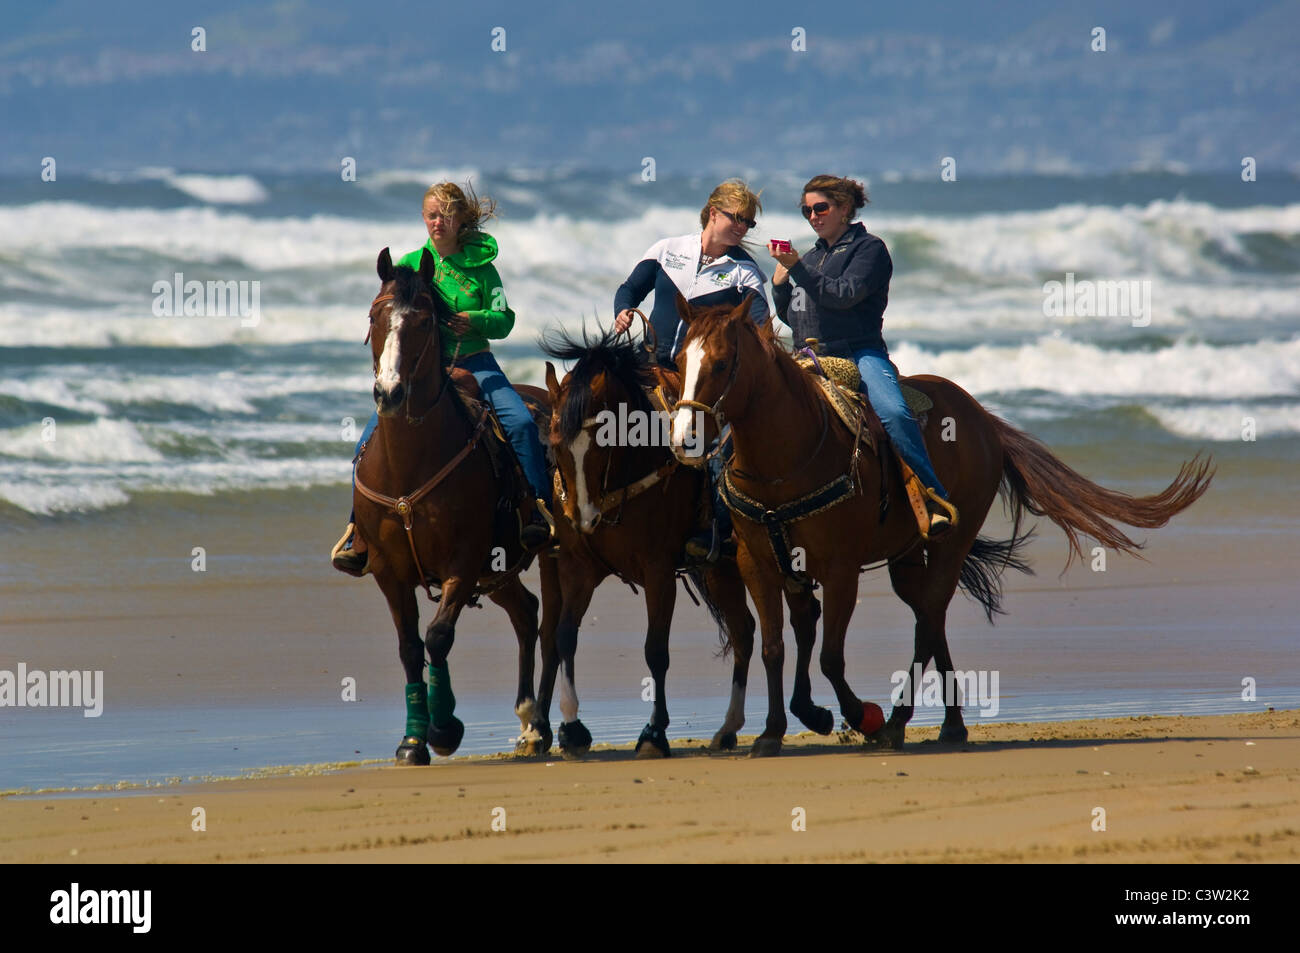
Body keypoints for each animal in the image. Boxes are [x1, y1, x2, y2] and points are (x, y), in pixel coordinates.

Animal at [533, 327, 795, 759]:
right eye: (554, 446)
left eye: (602, 441)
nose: (581, 518)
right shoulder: (576, 566)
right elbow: (564, 635)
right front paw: (571, 729)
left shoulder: (658, 572)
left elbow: (655, 650)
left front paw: (653, 733)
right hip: (720, 569)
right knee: (743, 631)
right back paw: (728, 728)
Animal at [665, 293, 1211, 754]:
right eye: (679, 362)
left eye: (720, 363)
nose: (683, 438)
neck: (788, 457)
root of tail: (983, 417)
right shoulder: (757, 562)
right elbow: (774, 647)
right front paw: (773, 733)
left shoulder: (840, 569)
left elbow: (830, 656)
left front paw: (858, 715)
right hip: (908, 554)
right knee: (931, 617)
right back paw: (949, 724)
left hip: (953, 541)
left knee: (927, 620)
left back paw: (896, 722)